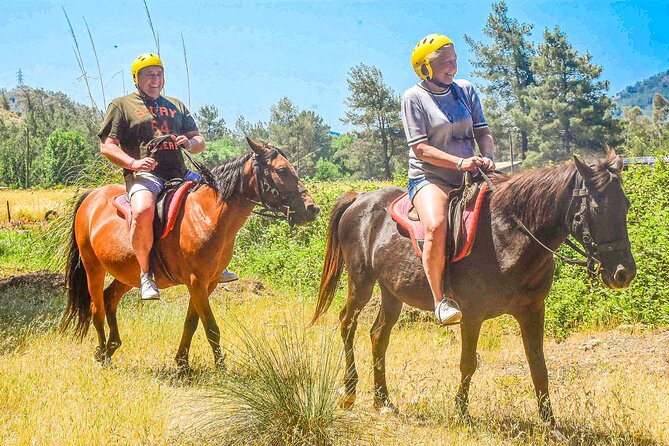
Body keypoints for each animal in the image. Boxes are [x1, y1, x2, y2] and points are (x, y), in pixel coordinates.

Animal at [64, 140, 320, 370]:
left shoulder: (208, 282)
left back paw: (111, 348)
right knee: (96, 308)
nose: (312, 209)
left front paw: (182, 363)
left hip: (129, 273)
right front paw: (221, 370)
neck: (208, 215)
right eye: (282, 170)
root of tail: (92, 196)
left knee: (109, 299)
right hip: (93, 267)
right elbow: (211, 327)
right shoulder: (196, 282)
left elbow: (192, 323)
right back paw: (101, 353)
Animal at [310, 151, 636, 428]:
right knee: (347, 323)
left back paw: (383, 401)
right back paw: (350, 392)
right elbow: (467, 363)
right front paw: (462, 415)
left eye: (626, 205)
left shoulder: (532, 311)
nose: (624, 273)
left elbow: (538, 366)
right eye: (597, 209)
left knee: (379, 335)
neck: (508, 235)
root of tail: (360, 198)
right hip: (361, 281)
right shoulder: (472, 314)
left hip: (392, 292)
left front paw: (550, 424)